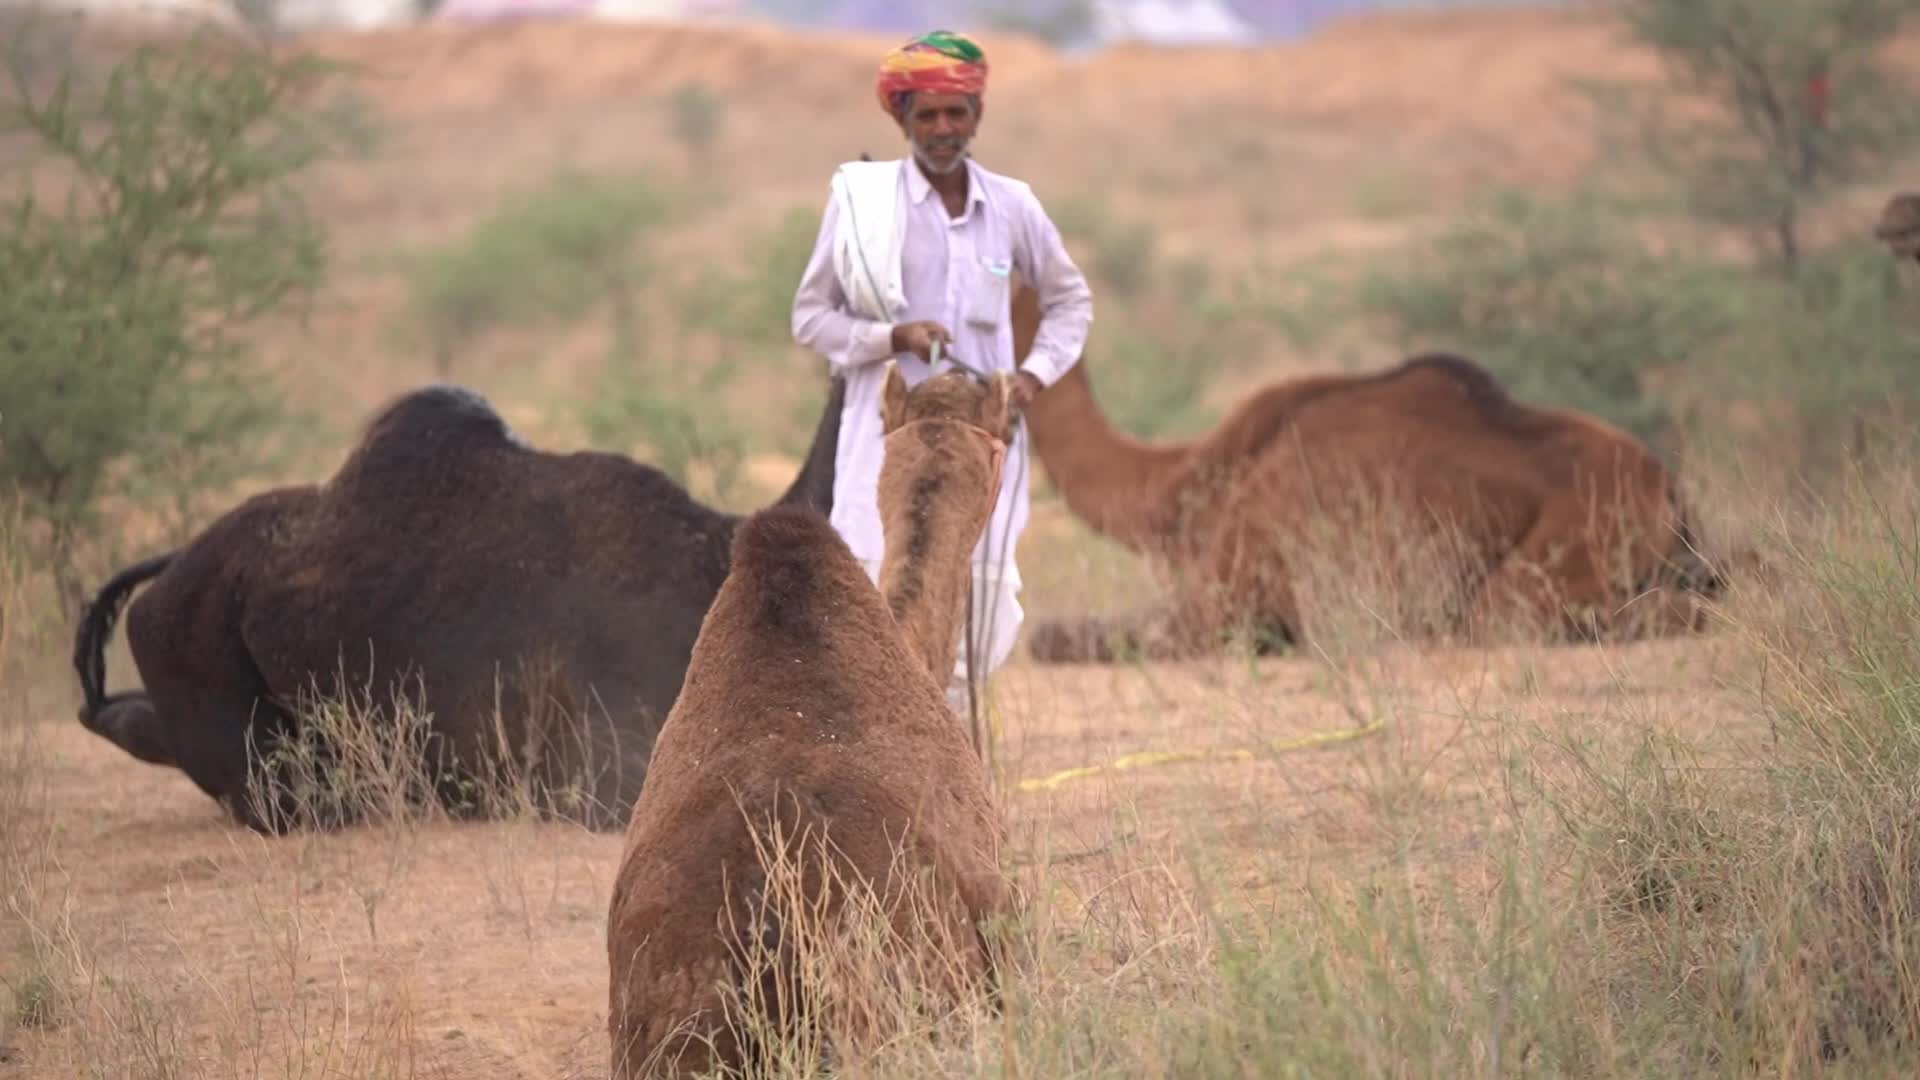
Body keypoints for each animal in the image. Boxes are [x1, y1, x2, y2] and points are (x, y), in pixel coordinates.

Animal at [1005, 286, 1725, 661]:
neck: (1184, 486)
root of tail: (1667, 485)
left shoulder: (1226, 602)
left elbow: (1052, 636)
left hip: (1569, 544)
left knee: (1508, 616)